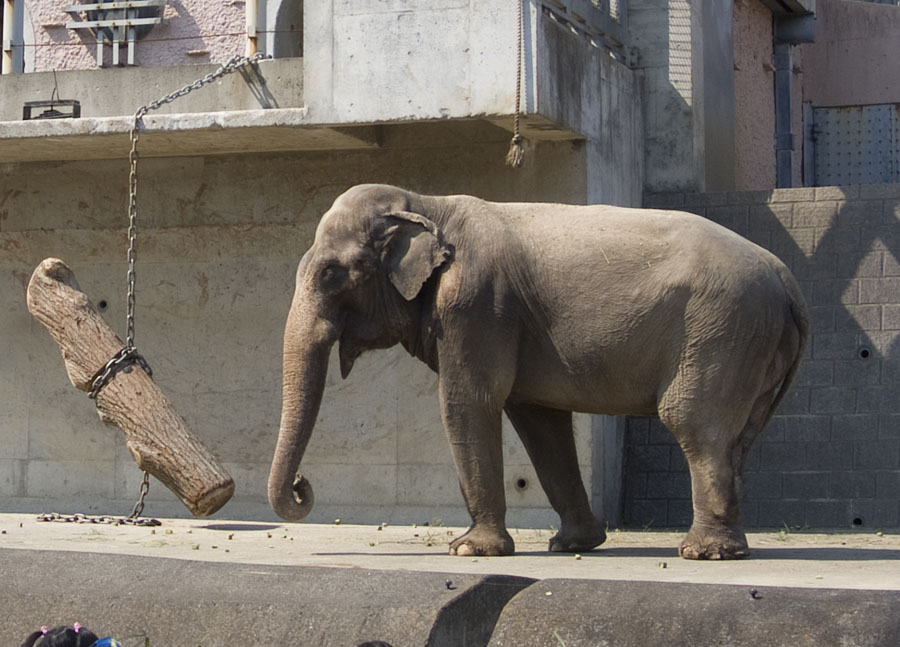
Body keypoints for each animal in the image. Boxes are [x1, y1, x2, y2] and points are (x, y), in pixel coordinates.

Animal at [268, 184, 808, 560]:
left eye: (332, 274)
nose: (303, 485)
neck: (427, 203)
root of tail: (786, 278)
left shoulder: (476, 306)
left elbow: (469, 403)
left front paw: (471, 550)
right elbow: (539, 421)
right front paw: (573, 545)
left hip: (721, 330)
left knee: (694, 425)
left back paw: (704, 553)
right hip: (752, 344)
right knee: (734, 440)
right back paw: (722, 544)